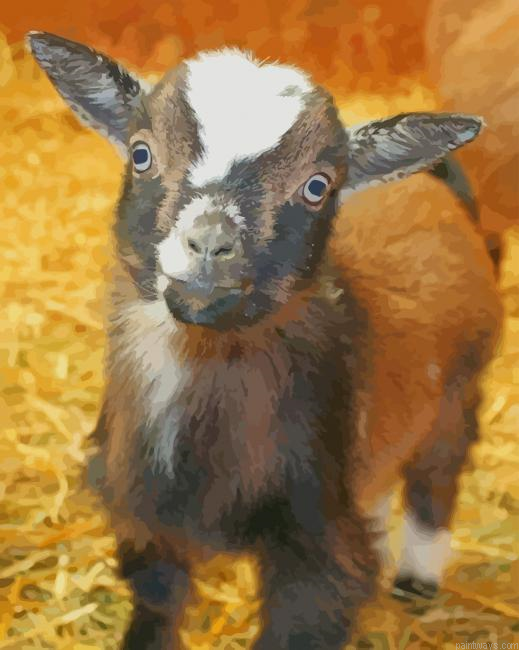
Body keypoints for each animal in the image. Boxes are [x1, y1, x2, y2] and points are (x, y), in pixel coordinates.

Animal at [28, 32, 502, 649]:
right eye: (140, 153)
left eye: (318, 186)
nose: (209, 245)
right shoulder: (143, 513)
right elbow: (156, 607)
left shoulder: (317, 549)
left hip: (459, 389)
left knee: (437, 476)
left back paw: (416, 581)